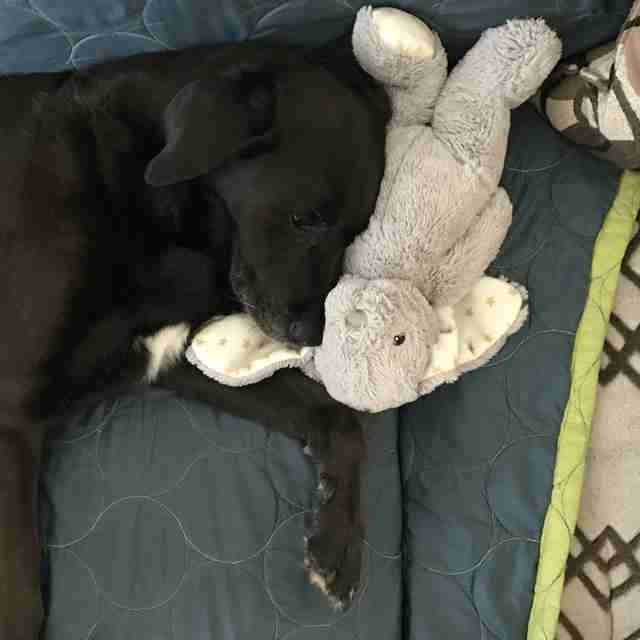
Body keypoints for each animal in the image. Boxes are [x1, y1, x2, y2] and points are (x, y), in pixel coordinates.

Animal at [0, 37, 390, 636]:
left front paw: (338, 543)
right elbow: (21, 605)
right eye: (306, 219)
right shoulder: (12, 411)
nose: (311, 336)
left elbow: (338, 417)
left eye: (354, 232)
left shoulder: (173, 356)